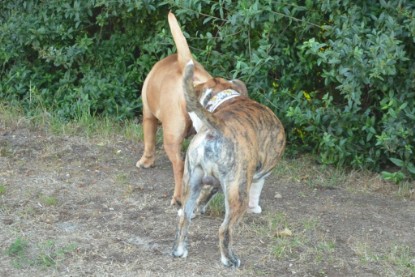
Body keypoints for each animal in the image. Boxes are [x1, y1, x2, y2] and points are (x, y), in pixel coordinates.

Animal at [137, 11, 211, 204]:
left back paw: (177, 197)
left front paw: (145, 162)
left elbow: (149, 141)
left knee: (178, 165)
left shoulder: (148, 115)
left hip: (170, 135)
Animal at [172, 61, 286, 268]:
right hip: (238, 192)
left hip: (191, 180)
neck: (226, 99)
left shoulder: (213, 183)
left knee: (184, 218)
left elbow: (204, 197)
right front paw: (255, 208)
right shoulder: (257, 176)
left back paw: (179, 250)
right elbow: (257, 190)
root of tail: (218, 126)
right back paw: (229, 259)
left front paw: (199, 209)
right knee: (224, 229)